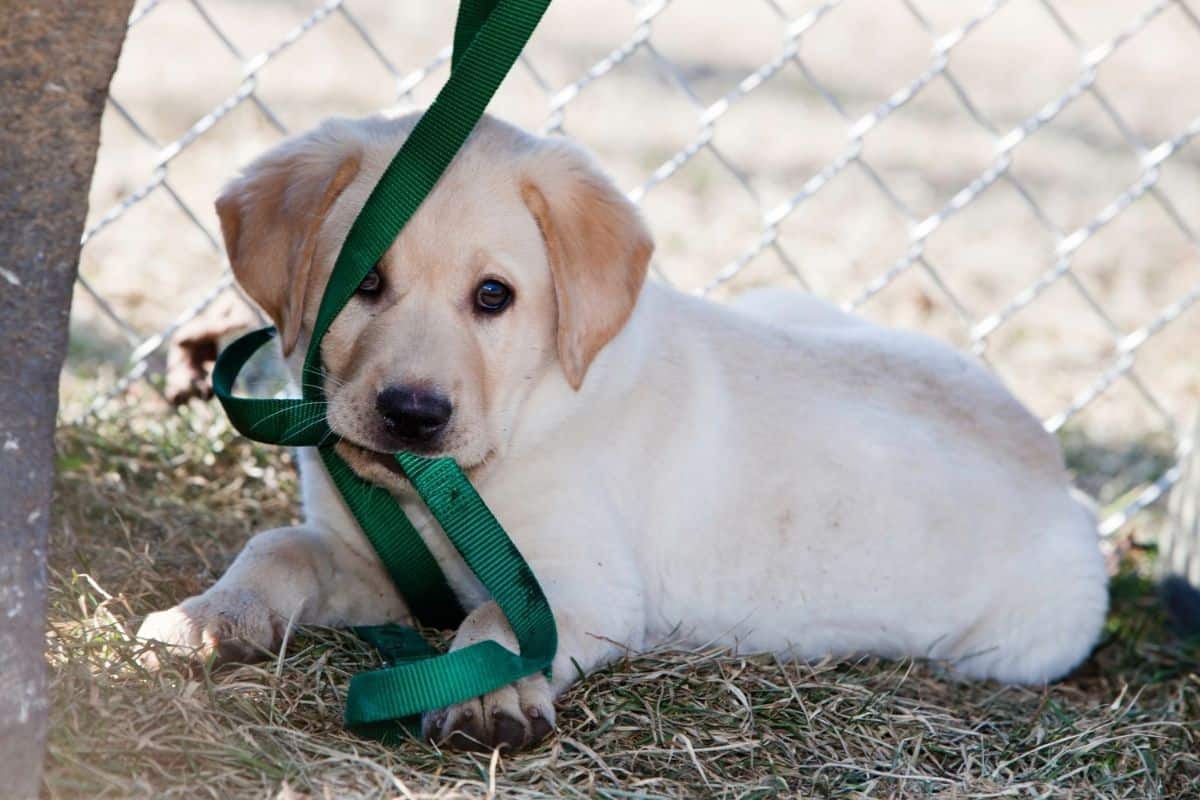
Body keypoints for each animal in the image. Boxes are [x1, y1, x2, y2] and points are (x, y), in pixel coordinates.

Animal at [138, 112, 1104, 753]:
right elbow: (277, 547)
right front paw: (208, 616)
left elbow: (493, 618)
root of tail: (1059, 469)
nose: (411, 412)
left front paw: (490, 697)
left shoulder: (586, 588)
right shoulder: (374, 561)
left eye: (495, 296)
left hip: (1019, 643)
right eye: (364, 284)